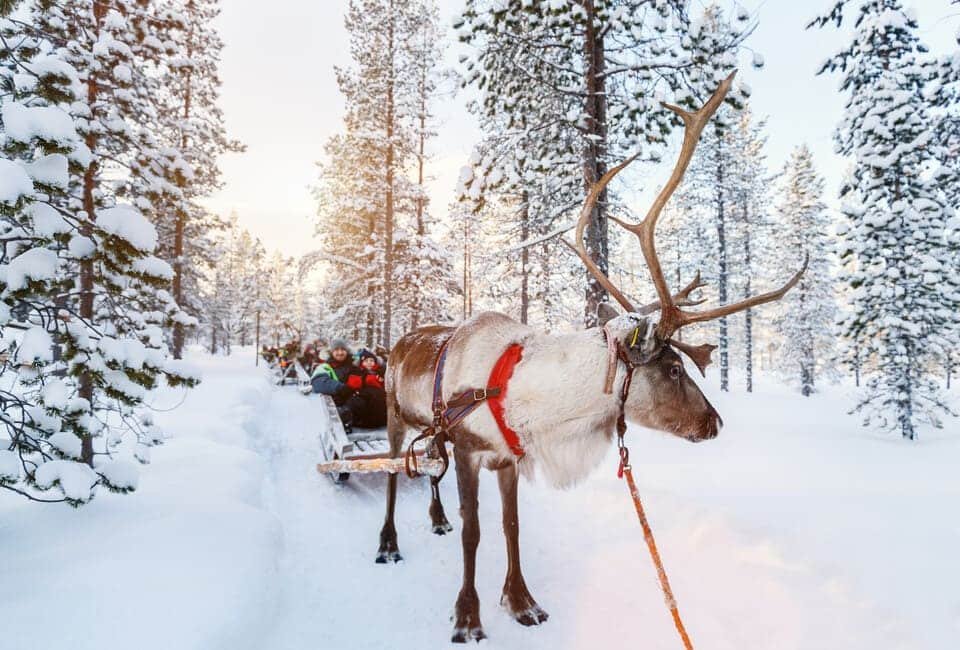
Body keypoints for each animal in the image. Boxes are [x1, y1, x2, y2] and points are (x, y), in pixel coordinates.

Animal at [376, 71, 806, 643]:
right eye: (674, 369)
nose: (715, 422)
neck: (528, 400)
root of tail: (396, 342)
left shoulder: (508, 458)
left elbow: (512, 527)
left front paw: (522, 601)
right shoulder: (470, 449)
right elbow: (476, 531)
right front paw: (468, 616)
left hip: (433, 431)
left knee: (428, 466)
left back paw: (435, 517)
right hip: (396, 416)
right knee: (391, 472)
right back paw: (388, 543)